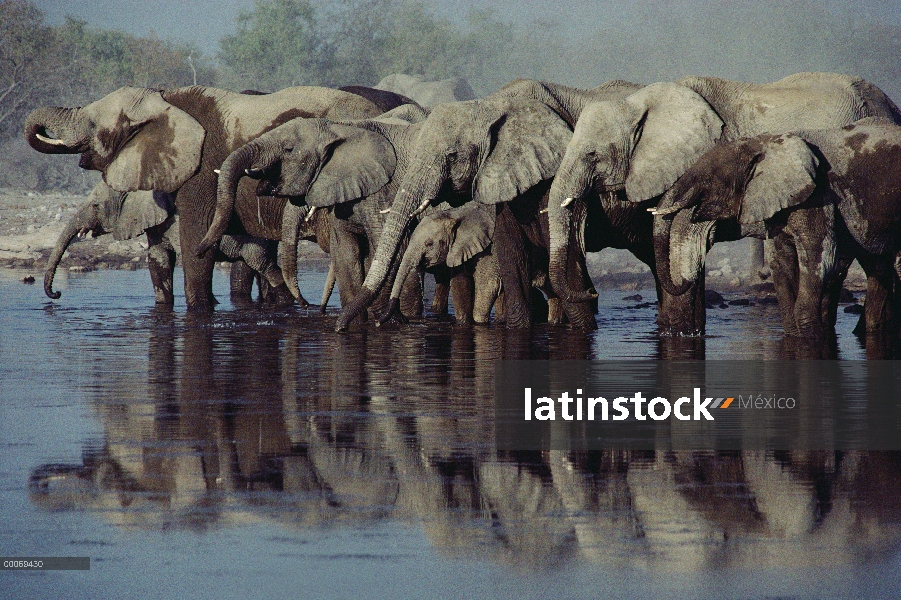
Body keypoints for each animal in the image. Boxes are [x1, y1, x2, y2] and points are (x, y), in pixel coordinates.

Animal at [330, 78, 640, 332]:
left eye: (452, 156)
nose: (339, 328)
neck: (492, 104)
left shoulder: (565, 168)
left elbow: (566, 246)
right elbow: (510, 249)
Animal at [652, 120, 900, 340]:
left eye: (706, 182)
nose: (685, 281)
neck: (765, 143)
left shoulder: (819, 196)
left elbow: (820, 259)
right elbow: (781, 263)